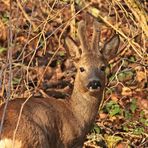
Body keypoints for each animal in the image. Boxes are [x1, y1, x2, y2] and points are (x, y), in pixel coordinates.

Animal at [0, 20, 119, 148]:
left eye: (102, 67)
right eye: (81, 68)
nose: (94, 83)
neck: (77, 115)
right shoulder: (68, 142)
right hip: (37, 140)